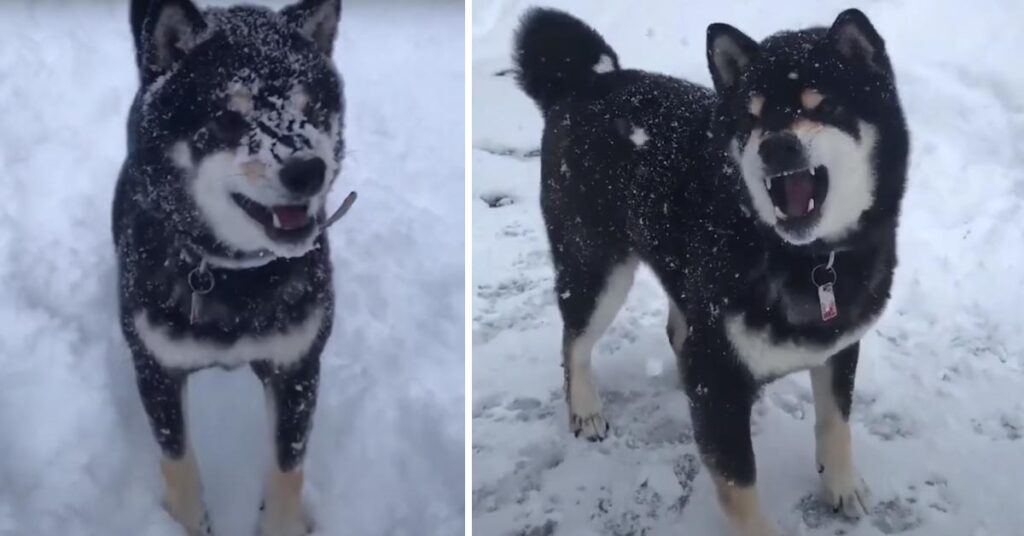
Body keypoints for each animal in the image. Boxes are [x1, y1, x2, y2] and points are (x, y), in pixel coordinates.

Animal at [112, 2, 344, 532]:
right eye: (227, 118)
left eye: (313, 109)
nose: (308, 170)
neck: (234, 275)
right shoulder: (156, 368)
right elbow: (177, 462)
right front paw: (187, 522)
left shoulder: (296, 365)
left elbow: (287, 468)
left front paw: (282, 523)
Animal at [516, 8, 909, 536]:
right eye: (752, 117)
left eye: (821, 105)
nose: (776, 146)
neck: (806, 261)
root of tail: (586, 82)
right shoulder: (716, 374)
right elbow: (739, 485)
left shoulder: (839, 344)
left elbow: (835, 421)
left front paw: (842, 484)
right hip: (595, 265)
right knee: (574, 342)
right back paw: (585, 408)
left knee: (673, 330)